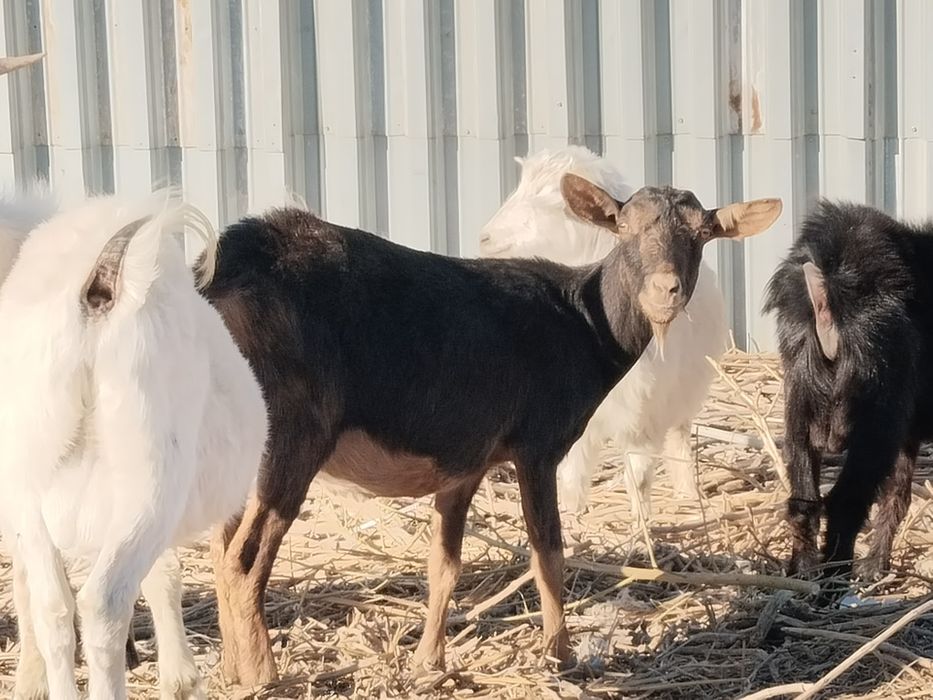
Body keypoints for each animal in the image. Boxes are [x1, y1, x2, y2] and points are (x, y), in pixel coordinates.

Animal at [0, 194, 268, 699]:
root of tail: (101, 279)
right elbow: (165, 576)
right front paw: (181, 678)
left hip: (29, 476)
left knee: (54, 606)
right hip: (149, 484)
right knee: (102, 603)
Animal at [480, 146, 727, 524]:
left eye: (551, 203)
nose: (484, 237)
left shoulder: (643, 412)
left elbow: (639, 476)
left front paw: (641, 526)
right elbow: (572, 472)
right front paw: (572, 516)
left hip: (682, 396)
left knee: (679, 440)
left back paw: (687, 495)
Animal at [764, 200, 931, 589]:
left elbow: (898, 493)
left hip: (800, 383)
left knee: (804, 497)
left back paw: (804, 575)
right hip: (877, 405)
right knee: (846, 500)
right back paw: (836, 579)